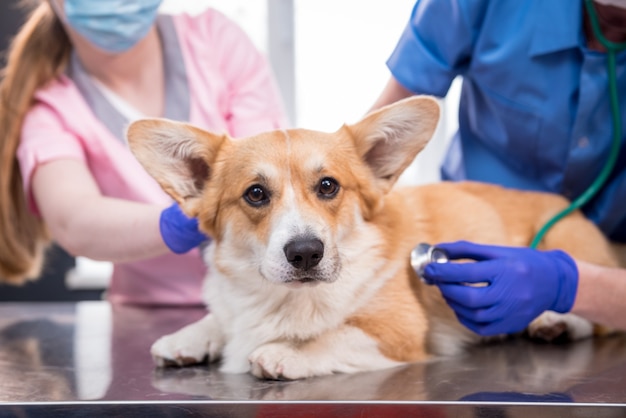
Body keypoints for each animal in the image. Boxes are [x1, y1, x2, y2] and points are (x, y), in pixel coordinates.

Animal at [127, 97, 616, 378]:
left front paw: (284, 353)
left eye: (328, 186)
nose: (306, 253)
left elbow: (337, 335)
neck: (286, 298)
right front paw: (190, 337)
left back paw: (553, 320)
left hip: (566, 246)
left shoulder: (397, 331)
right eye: (255, 194)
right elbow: (219, 317)